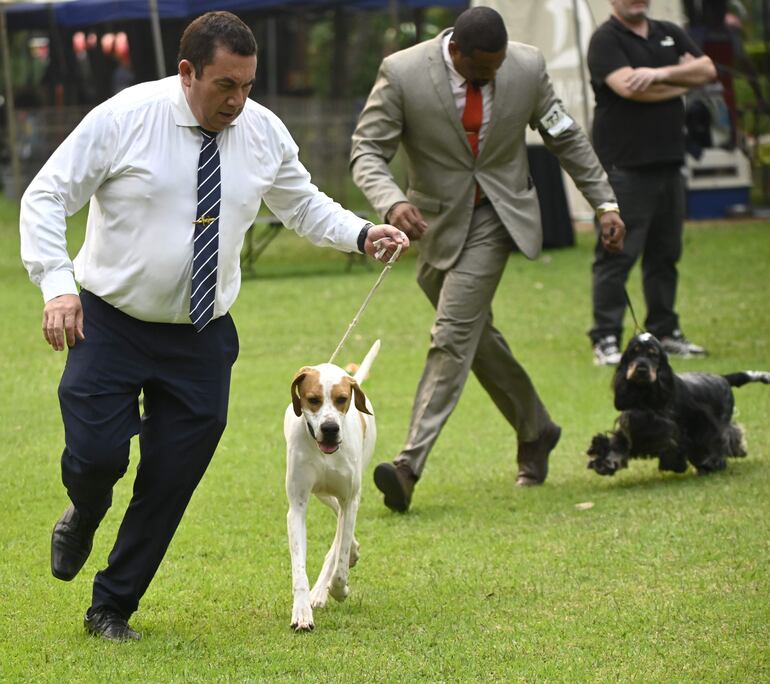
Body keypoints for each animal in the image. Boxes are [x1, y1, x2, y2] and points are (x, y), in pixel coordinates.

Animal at [282, 340, 378, 632]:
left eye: (342, 399)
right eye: (313, 400)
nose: (330, 428)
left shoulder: (351, 498)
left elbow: (341, 556)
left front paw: (338, 589)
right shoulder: (297, 506)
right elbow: (299, 568)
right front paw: (301, 612)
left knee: (341, 530)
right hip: (321, 493)